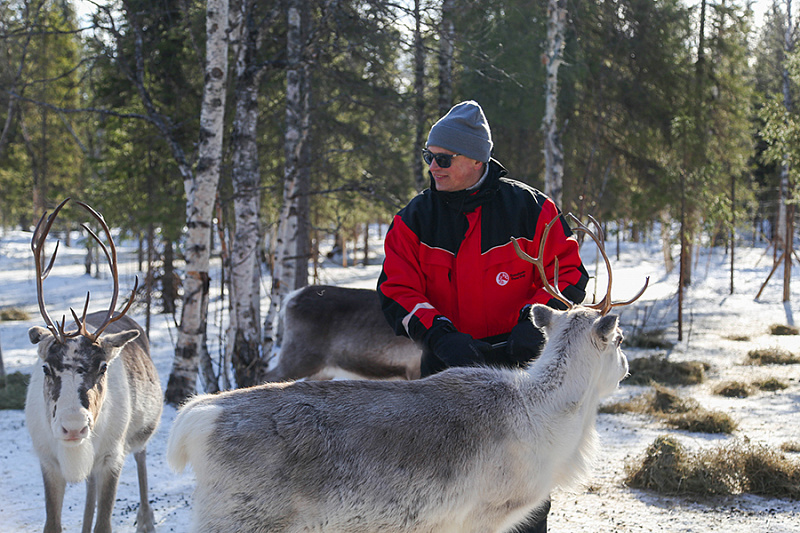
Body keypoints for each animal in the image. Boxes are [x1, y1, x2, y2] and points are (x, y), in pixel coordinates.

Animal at [24, 198, 163, 533]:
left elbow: (104, 523)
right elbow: (52, 523)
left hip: (140, 433)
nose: (74, 427)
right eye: (46, 368)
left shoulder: (111, 458)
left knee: (141, 459)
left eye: (102, 368)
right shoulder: (48, 462)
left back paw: (146, 519)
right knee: (88, 488)